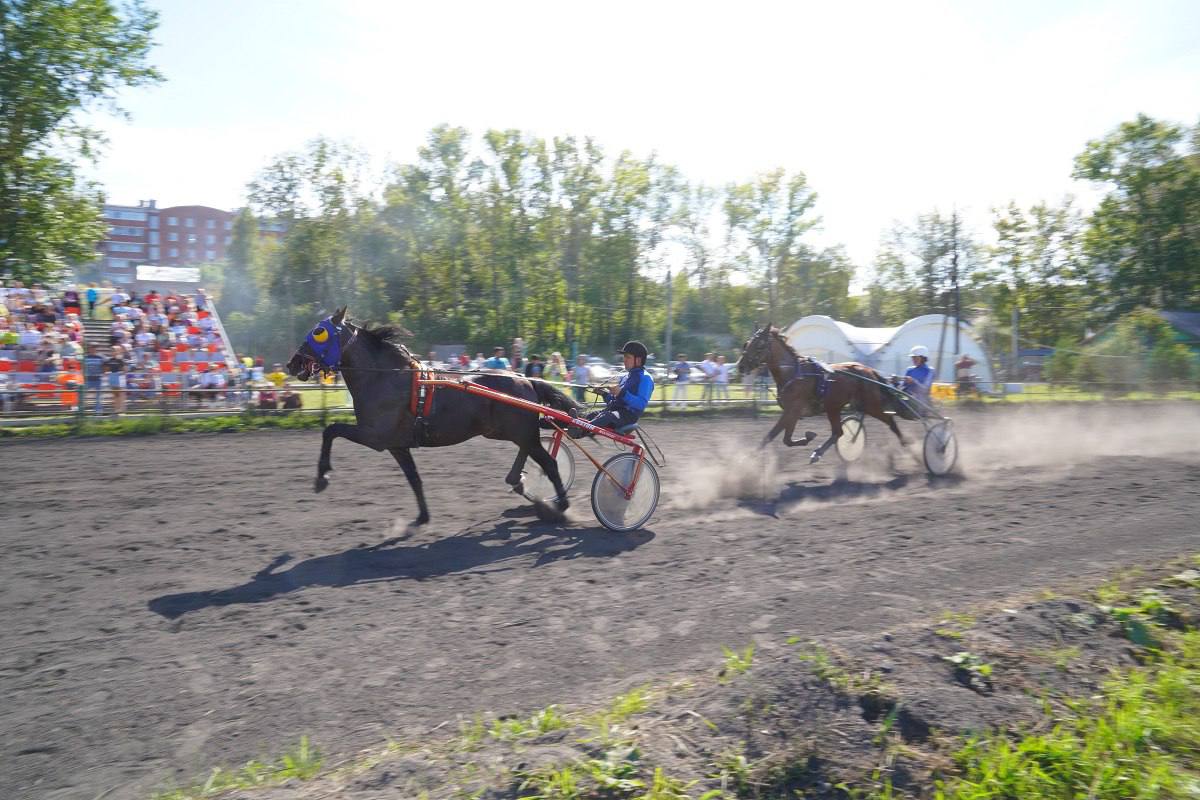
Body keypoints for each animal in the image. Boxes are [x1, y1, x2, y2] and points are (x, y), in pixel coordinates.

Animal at [283, 309, 578, 527]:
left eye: (318, 332)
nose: (292, 363)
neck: (384, 378)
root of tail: (527, 380)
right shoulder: (396, 444)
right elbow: (414, 478)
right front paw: (422, 516)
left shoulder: (374, 435)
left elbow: (330, 430)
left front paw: (321, 478)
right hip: (509, 431)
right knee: (529, 453)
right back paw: (517, 480)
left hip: (519, 431)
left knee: (549, 463)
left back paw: (560, 505)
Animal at [729, 326, 907, 462]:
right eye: (747, 343)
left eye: (759, 344)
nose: (740, 366)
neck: (793, 374)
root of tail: (869, 370)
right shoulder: (792, 413)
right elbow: (786, 439)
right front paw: (808, 437)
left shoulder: (793, 410)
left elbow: (771, 435)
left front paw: (748, 459)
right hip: (835, 407)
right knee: (838, 432)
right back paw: (818, 452)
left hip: (869, 405)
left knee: (890, 422)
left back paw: (907, 446)